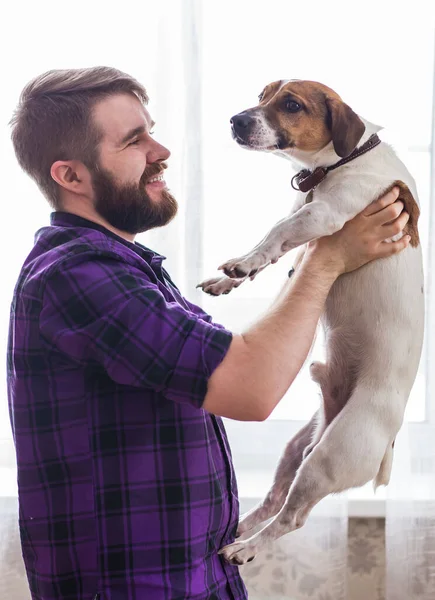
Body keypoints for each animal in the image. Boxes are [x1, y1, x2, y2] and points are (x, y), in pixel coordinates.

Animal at [198, 81, 426, 568]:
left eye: (291, 104)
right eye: (261, 95)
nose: (236, 120)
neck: (341, 160)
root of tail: (387, 444)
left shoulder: (321, 216)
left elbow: (274, 233)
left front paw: (243, 263)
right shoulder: (304, 219)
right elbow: (273, 243)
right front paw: (230, 278)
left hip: (327, 461)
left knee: (291, 518)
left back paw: (246, 548)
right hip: (297, 450)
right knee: (273, 500)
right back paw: (239, 529)